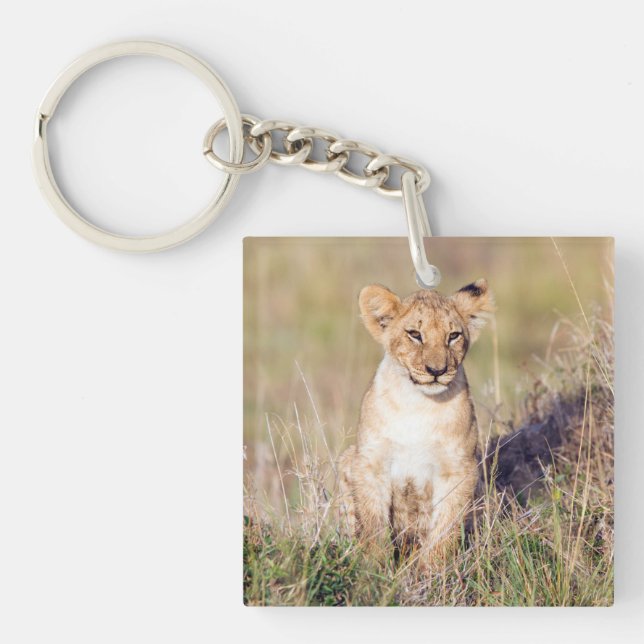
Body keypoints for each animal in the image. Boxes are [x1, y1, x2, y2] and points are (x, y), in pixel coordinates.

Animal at [338, 279, 494, 566]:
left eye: (453, 336)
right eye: (414, 334)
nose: (437, 371)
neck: (419, 404)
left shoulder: (459, 469)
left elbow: (445, 528)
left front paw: (432, 571)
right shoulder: (370, 462)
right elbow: (373, 524)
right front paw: (374, 568)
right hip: (347, 458)